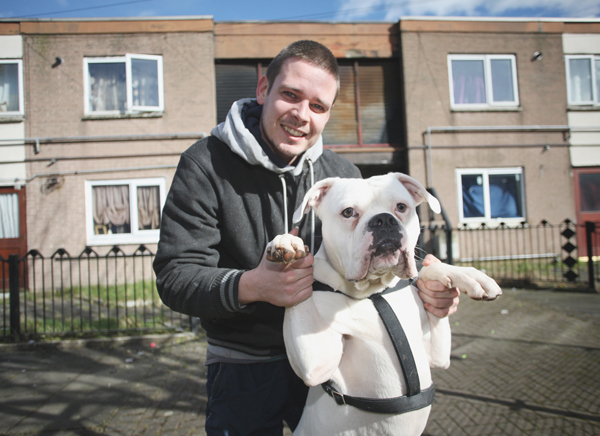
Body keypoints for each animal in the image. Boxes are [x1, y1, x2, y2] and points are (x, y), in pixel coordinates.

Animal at [268, 174, 502, 436]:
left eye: (401, 207)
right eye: (348, 212)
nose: (384, 220)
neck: (373, 293)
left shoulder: (438, 355)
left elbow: (428, 270)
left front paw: (469, 276)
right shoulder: (315, 363)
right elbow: (302, 285)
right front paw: (288, 241)